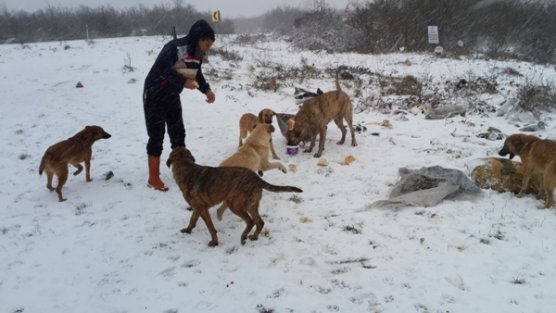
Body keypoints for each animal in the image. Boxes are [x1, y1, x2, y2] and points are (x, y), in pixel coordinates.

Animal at [166, 146, 304, 246]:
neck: (186, 168)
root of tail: (256, 178)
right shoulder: (197, 208)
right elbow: (192, 221)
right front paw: (187, 231)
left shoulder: (202, 209)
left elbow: (211, 228)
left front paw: (214, 242)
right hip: (251, 204)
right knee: (259, 222)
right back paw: (254, 237)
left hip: (235, 205)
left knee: (250, 221)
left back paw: (243, 237)